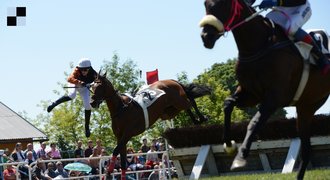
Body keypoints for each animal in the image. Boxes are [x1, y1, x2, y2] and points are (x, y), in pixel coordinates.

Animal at [199, 0, 330, 179]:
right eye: (205, 4)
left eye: (223, 4)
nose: (206, 37)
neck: (259, 45)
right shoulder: (251, 93)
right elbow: (227, 104)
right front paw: (229, 145)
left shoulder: (274, 98)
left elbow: (254, 123)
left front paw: (240, 158)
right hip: (306, 108)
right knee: (306, 149)